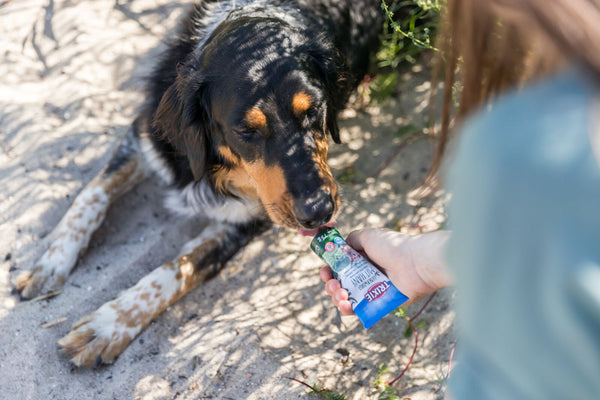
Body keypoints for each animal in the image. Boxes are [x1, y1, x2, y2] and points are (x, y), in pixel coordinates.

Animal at [12, 0, 380, 368]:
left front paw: (108, 324)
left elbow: (179, 268)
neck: (216, 167)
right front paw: (51, 261)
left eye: (314, 109)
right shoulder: (146, 136)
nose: (319, 211)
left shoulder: (247, 220)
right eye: (246, 131)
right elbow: (92, 194)